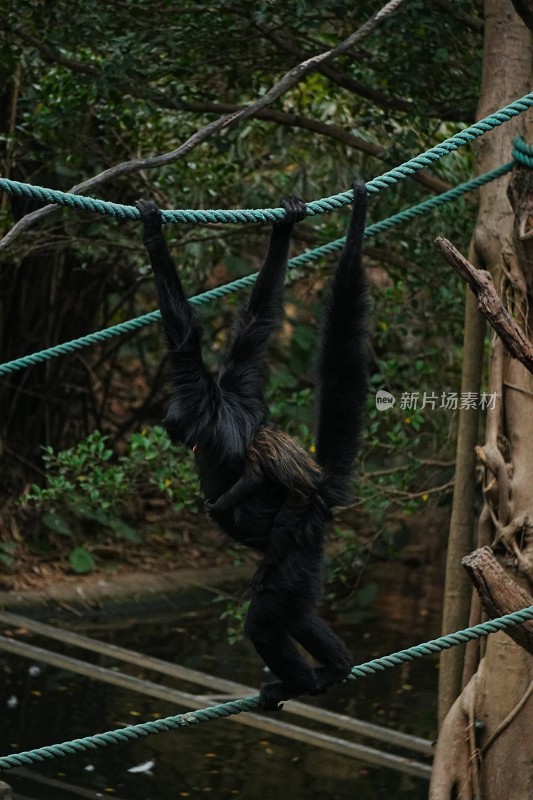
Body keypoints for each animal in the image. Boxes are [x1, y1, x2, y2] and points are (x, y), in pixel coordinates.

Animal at [137, 184, 368, 708]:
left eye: (174, 420)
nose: (167, 425)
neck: (219, 399)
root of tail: (320, 496)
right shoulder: (240, 378)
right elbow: (257, 321)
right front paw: (285, 227)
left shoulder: (197, 390)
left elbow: (184, 332)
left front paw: (154, 231)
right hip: (308, 554)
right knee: (295, 610)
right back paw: (336, 666)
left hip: (292, 545)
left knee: (265, 616)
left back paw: (299, 682)